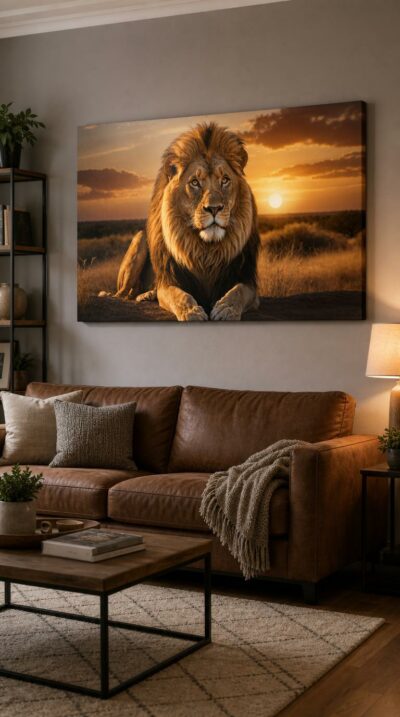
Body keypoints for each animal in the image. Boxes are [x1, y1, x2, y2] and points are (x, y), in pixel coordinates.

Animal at [120, 122, 260, 321]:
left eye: (225, 180)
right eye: (195, 182)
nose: (214, 208)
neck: (206, 250)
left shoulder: (248, 282)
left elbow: (238, 291)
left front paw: (226, 309)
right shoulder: (169, 282)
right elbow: (180, 296)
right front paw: (192, 312)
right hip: (140, 240)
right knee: (124, 294)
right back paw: (144, 294)